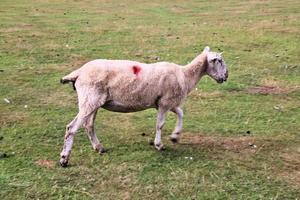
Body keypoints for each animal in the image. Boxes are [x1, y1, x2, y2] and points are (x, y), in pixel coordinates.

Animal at [59, 46, 229, 166]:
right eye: (219, 60)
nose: (226, 76)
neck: (185, 75)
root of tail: (79, 72)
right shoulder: (165, 103)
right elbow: (160, 124)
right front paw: (159, 145)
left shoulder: (167, 102)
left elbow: (181, 113)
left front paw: (175, 136)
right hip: (90, 99)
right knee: (72, 128)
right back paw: (64, 159)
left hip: (92, 102)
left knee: (88, 125)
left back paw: (99, 147)